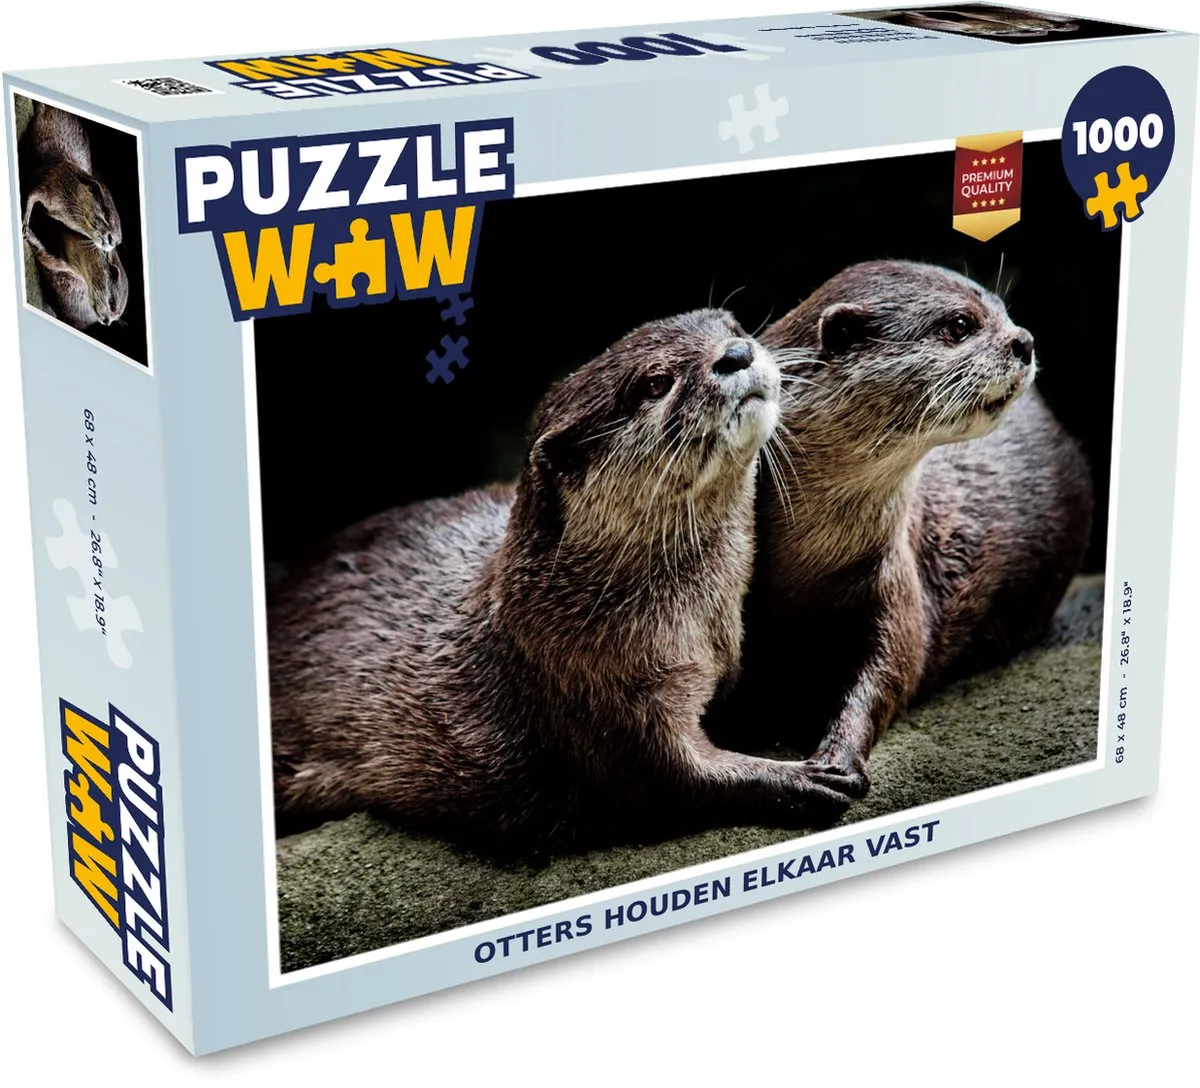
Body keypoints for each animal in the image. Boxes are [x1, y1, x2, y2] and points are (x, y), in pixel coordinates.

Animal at [269, 310, 852, 851]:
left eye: (732, 328)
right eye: (655, 383)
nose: (736, 353)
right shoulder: (593, 684)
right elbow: (669, 779)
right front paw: (799, 777)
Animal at [708, 261, 1092, 797]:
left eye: (1003, 309)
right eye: (959, 325)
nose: (1025, 341)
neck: (809, 564)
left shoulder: (895, 578)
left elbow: (890, 672)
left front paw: (838, 757)